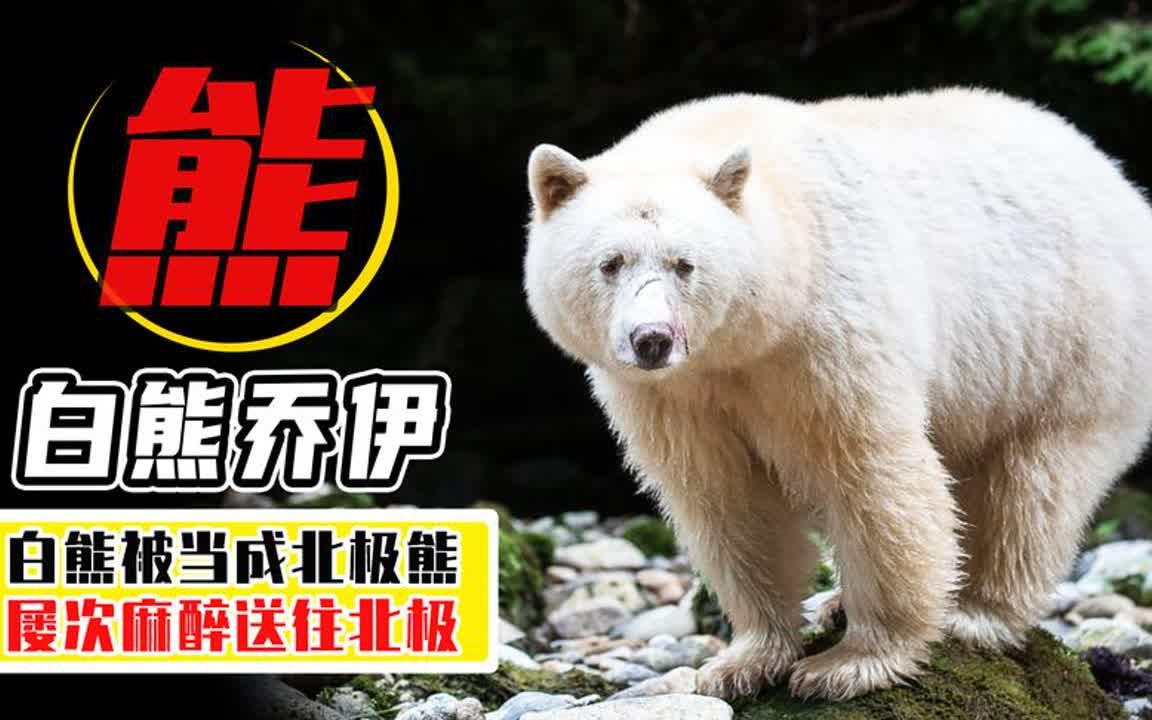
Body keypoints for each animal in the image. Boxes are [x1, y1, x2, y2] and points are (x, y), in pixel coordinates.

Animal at [521, 88, 1152, 701]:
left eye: (685, 264)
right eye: (611, 262)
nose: (652, 339)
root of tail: (1114, 175)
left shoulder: (825, 330)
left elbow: (867, 469)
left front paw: (848, 665)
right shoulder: (673, 395)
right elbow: (726, 495)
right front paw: (742, 662)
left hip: (1070, 343)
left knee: (1032, 487)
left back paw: (977, 612)